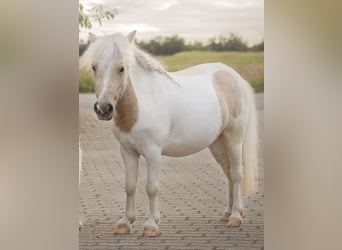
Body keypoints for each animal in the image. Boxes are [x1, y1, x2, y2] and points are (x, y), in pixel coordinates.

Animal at [80, 30, 258, 236]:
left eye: (122, 69)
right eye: (94, 67)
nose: (103, 109)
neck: (141, 104)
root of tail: (233, 76)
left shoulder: (153, 153)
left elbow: (152, 188)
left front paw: (151, 225)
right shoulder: (128, 152)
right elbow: (130, 186)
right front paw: (125, 222)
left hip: (233, 139)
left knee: (236, 174)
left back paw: (236, 217)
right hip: (218, 144)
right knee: (228, 173)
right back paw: (227, 213)